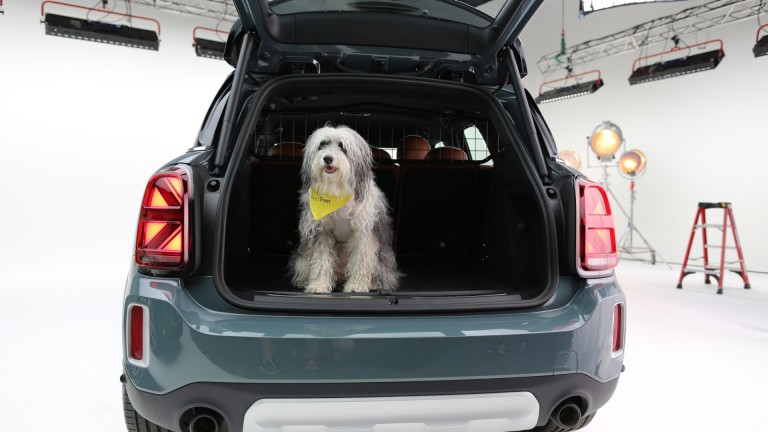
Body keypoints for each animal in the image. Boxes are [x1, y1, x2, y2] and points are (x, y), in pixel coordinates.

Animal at [286, 125, 400, 294]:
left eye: (342, 146)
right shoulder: (321, 231)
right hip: (303, 258)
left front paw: (357, 286)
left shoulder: (363, 233)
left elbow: (361, 260)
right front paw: (319, 285)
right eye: (322, 145)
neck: (337, 191)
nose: (327, 158)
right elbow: (321, 261)